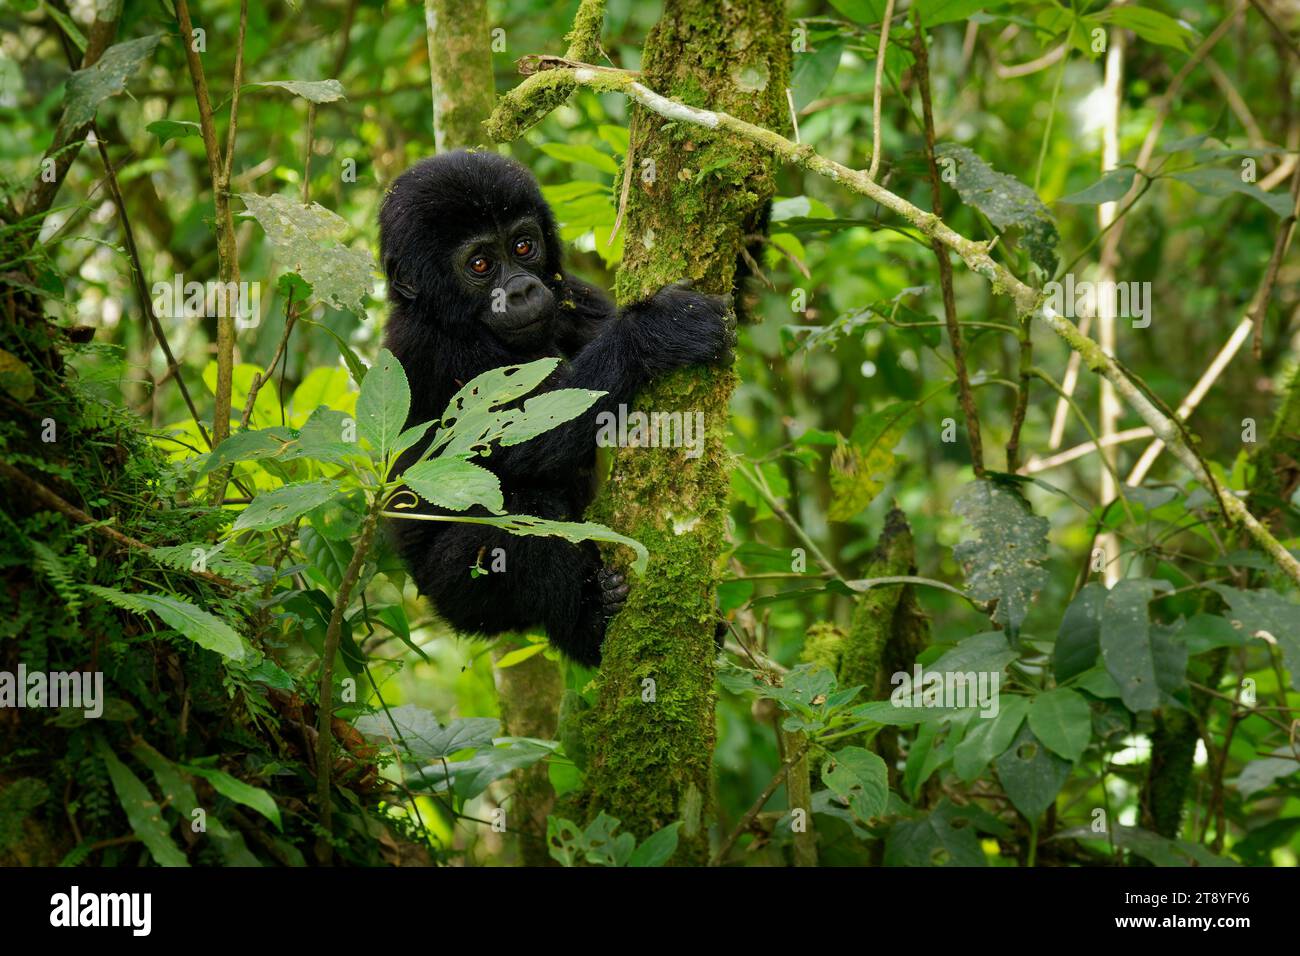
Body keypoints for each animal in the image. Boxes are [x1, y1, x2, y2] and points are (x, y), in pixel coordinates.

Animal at [379, 153, 738, 671]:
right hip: (455, 592)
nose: (523, 291)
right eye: (480, 264)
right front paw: (658, 331)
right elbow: (527, 441)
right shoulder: (432, 349)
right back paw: (591, 624)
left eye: (524, 245)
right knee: (528, 510)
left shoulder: (573, 294)